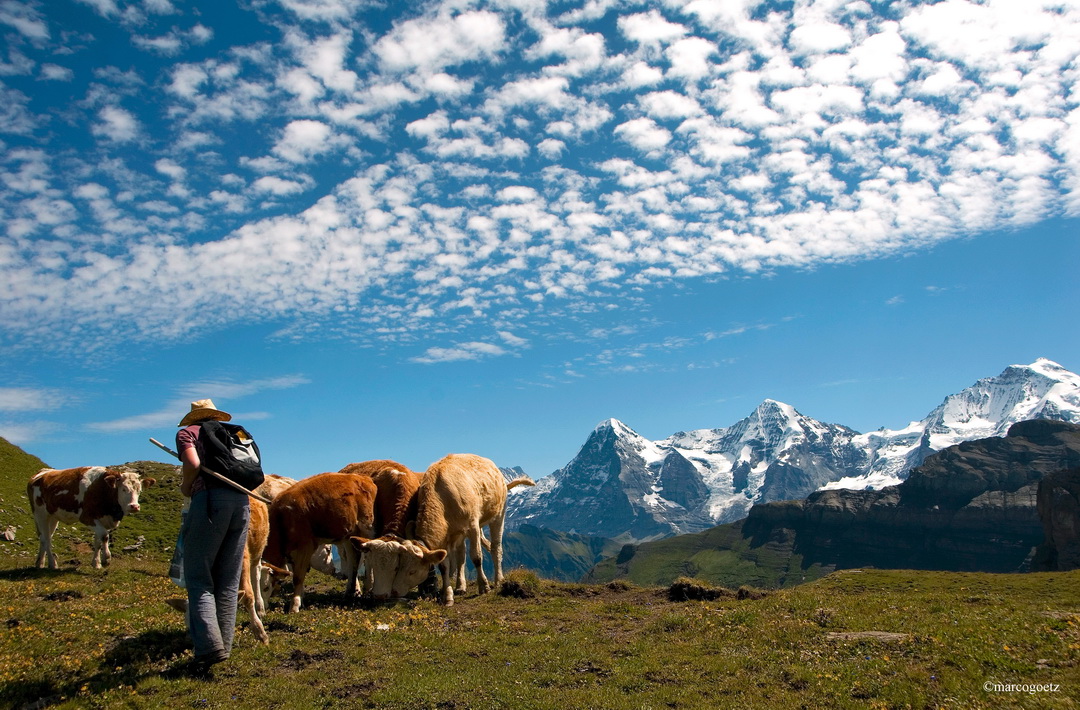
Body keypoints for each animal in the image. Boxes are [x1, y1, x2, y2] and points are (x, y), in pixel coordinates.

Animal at [27, 464, 156, 570]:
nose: (134, 506)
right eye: (123, 489)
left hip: (52, 517)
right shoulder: (87, 517)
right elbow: (104, 535)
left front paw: (96, 563)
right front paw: (106, 559)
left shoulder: (103, 519)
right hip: (40, 514)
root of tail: (42, 472)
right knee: (46, 539)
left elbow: (98, 542)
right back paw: (52, 564)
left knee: (46, 537)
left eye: (139, 490)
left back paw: (40, 563)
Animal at [262, 473, 378, 613]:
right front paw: (301, 599)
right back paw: (351, 592)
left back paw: (369, 587)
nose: (261, 608)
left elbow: (298, 577)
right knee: (353, 559)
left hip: (367, 526)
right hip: (349, 534)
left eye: (265, 587)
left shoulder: (306, 546)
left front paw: (294, 606)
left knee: (368, 556)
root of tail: (361, 477)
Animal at [410, 453, 533, 605]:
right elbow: (444, 567)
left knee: (496, 547)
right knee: (462, 556)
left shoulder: (472, 526)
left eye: (413, 571)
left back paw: (499, 580)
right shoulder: (445, 538)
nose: (423, 595)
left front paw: (484, 587)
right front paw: (448, 596)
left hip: (498, 515)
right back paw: (460, 586)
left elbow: (476, 556)